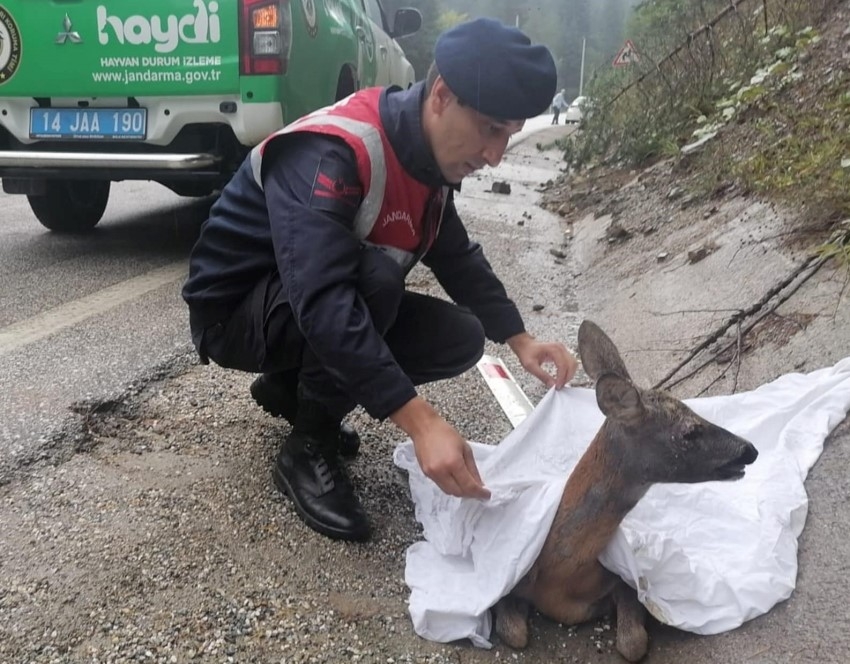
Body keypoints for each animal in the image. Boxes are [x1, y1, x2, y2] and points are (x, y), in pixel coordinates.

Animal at [490, 320, 756, 660]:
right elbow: (514, 633)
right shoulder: (511, 583)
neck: (561, 578)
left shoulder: (623, 581)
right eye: (689, 432)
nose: (750, 450)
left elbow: (632, 643)